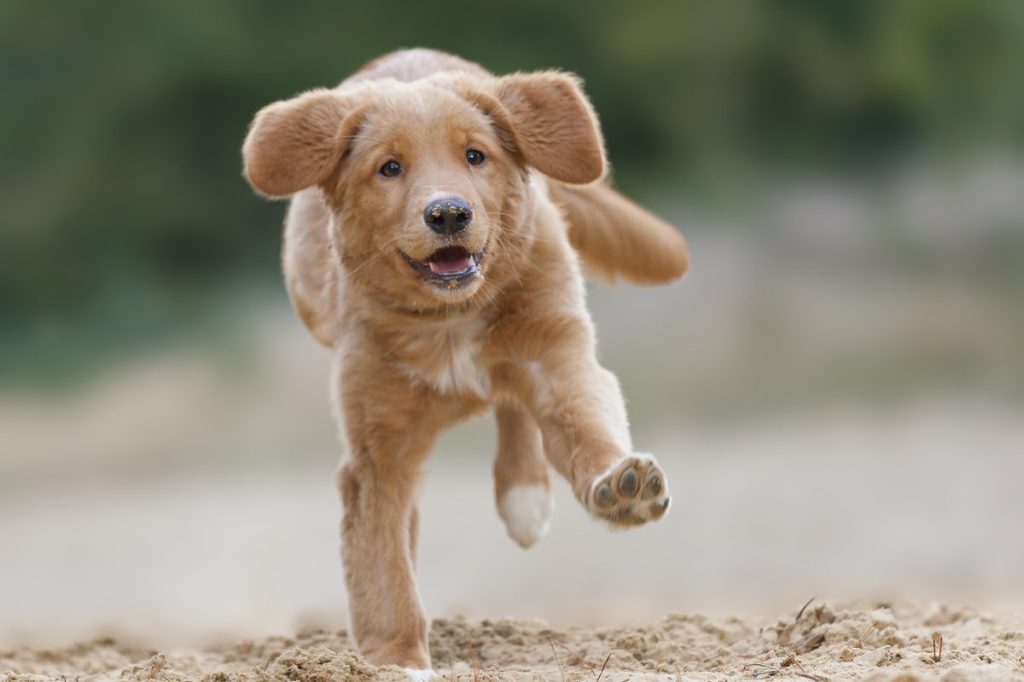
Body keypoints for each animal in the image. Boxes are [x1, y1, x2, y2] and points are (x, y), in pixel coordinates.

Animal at [240, 49, 688, 675]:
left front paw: (622, 486)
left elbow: (585, 426)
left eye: (476, 155)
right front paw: (397, 659)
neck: (449, 320)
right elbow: (382, 559)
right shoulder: (377, 447)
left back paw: (525, 495)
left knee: (516, 407)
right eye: (389, 168)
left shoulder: (559, 357)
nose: (448, 213)